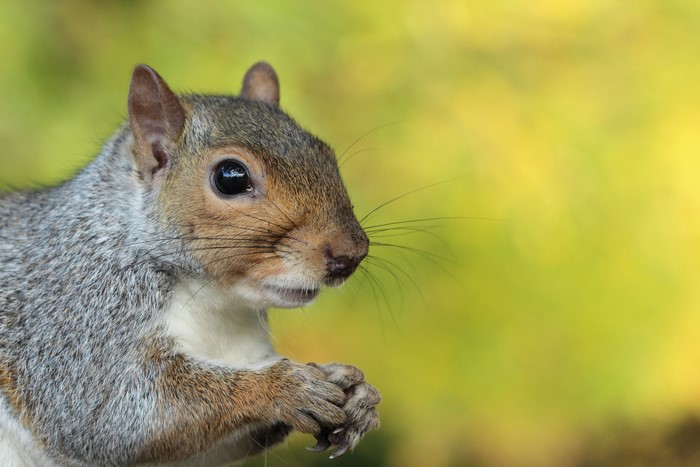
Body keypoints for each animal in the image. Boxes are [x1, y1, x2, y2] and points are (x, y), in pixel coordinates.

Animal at [0, 62, 381, 466]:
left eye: (326, 154)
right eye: (231, 177)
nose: (351, 253)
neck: (214, 303)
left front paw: (356, 396)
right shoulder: (76, 323)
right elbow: (113, 414)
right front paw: (284, 387)